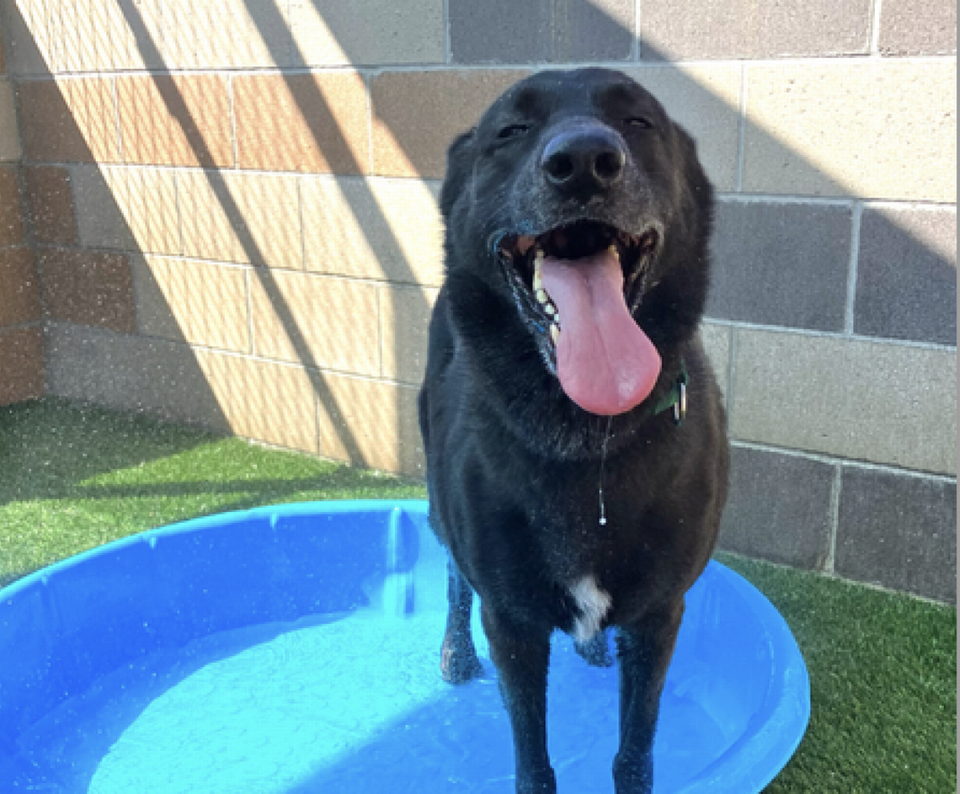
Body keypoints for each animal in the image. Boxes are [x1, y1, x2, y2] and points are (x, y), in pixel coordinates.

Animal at [418, 69, 728, 792]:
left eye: (639, 121)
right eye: (511, 130)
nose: (584, 160)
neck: (586, 438)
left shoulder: (660, 616)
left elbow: (635, 749)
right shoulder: (511, 622)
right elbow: (532, 759)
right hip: (441, 501)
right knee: (451, 574)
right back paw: (455, 652)